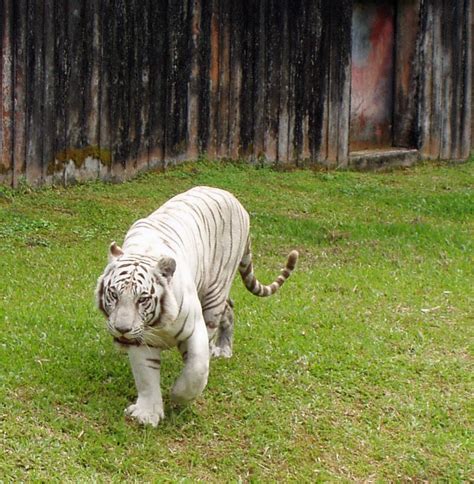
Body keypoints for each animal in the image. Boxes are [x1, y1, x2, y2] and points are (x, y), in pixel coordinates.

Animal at [94, 186, 298, 428]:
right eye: (113, 295)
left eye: (142, 299)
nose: (122, 329)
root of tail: (233, 198)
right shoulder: (142, 338)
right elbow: (146, 376)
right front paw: (147, 414)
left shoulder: (193, 330)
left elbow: (196, 370)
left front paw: (178, 396)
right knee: (230, 308)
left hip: (215, 291)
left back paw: (220, 349)